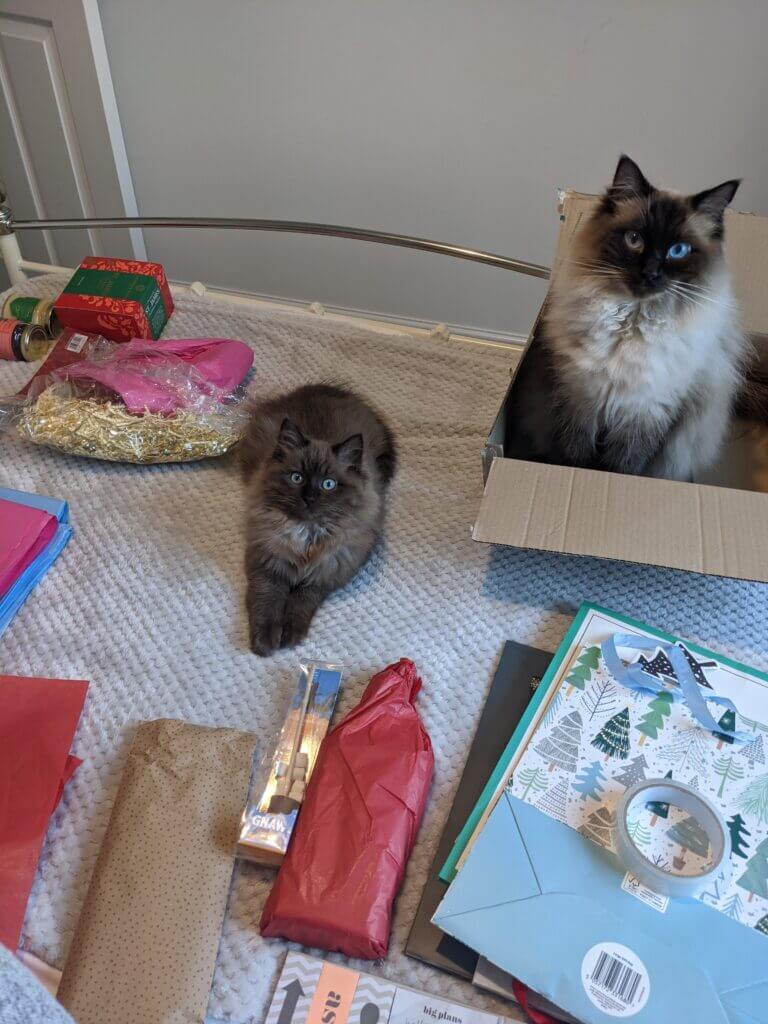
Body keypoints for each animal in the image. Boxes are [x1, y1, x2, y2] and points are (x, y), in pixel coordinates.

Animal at [240, 382, 397, 655]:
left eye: (328, 484)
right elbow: (267, 603)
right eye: (297, 478)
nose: (309, 498)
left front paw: (290, 636)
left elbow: (300, 605)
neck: (307, 534)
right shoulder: (267, 563)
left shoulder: (324, 575)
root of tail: (325, 388)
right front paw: (265, 643)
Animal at [512, 153, 753, 481]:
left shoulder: (644, 413)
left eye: (678, 250)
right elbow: (574, 460)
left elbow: (622, 467)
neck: (631, 326)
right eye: (634, 239)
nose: (649, 273)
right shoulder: (579, 401)